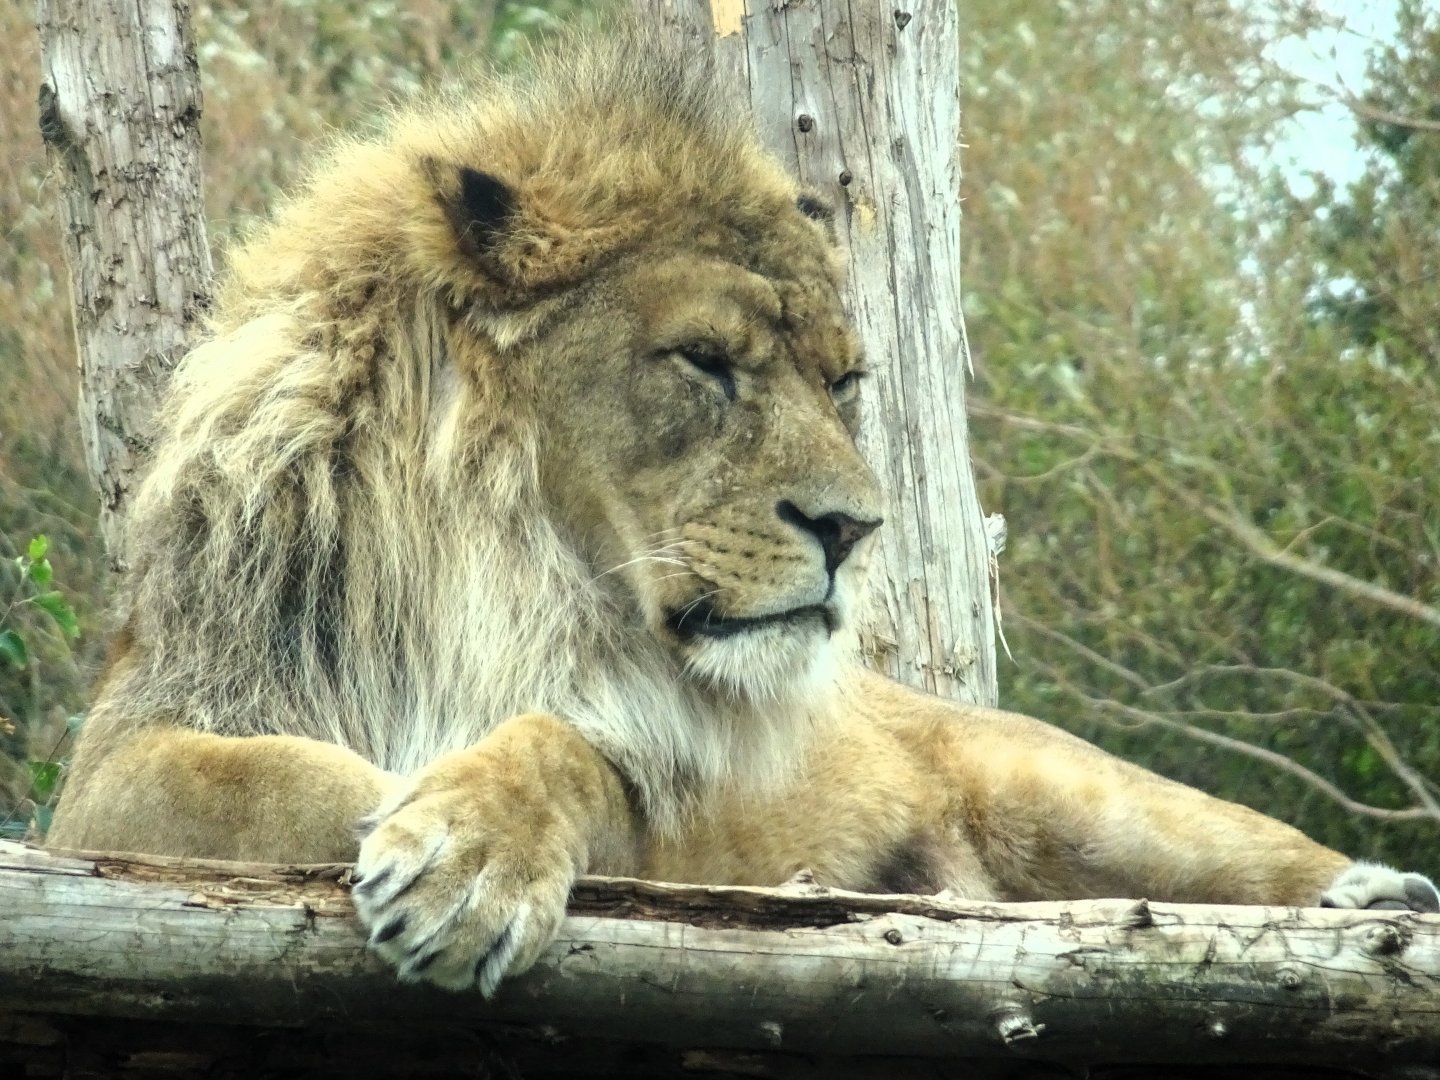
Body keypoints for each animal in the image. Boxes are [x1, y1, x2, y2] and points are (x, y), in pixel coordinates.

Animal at [49, 27, 1437, 995]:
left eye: (843, 382)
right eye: (708, 363)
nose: (854, 531)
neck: (498, 584)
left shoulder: (659, 800)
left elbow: (570, 747)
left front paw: (473, 847)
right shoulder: (116, 776)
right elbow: (283, 783)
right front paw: (425, 823)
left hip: (1084, 794)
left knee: (1253, 856)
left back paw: (1376, 898)